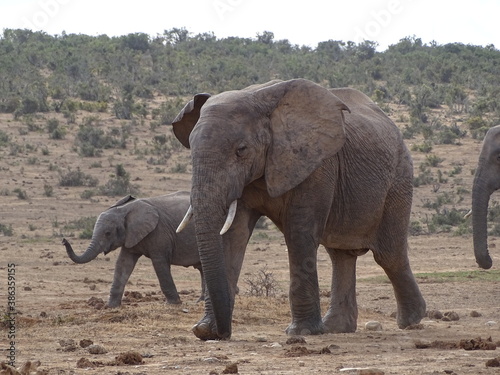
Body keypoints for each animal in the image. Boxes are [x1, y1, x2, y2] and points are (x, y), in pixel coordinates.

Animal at [62, 192, 203, 310]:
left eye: (108, 233)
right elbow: (123, 263)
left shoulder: (159, 232)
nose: (64, 240)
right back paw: (200, 301)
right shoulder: (130, 235)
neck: (124, 210)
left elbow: (159, 264)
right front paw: (111, 307)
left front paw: (173, 304)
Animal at [172, 77, 426, 340]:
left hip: (399, 178)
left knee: (388, 254)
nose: (222, 333)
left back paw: (411, 320)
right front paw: (204, 330)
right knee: (340, 254)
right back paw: (336, 328)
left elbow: (299, 233)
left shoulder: (316, 162)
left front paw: (302, 331)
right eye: (190, 149)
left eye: (241, 150)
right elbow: (234, 235)